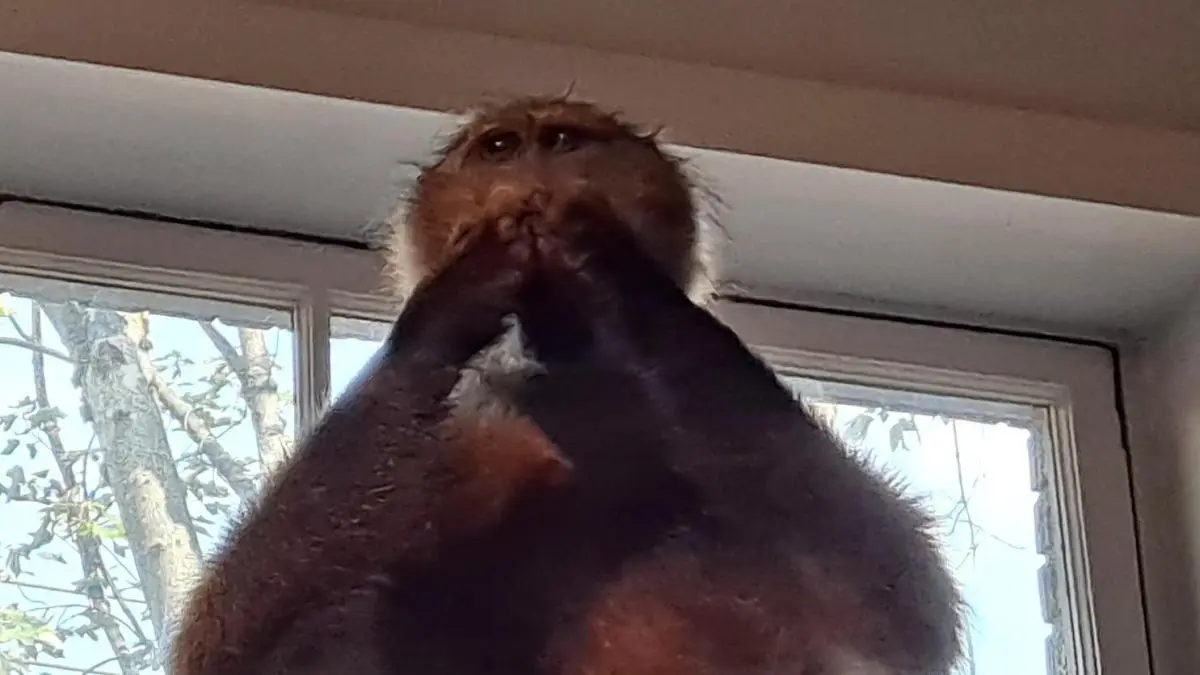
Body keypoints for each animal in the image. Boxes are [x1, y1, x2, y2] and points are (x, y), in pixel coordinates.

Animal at [170, 95, 965, 675]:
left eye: (561, 138)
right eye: (498, 147)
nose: (532, 157)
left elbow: (897, 601)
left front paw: (610, 256)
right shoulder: (459, 419)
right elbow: (225, 641)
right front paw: (452, 297)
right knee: (342, 618)